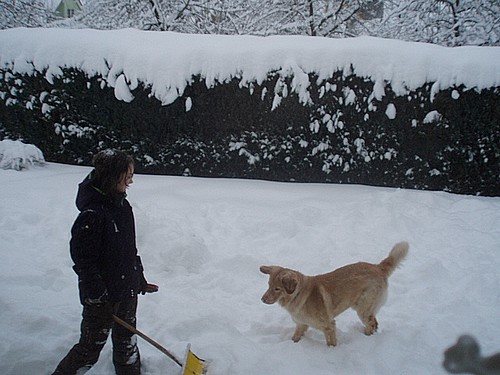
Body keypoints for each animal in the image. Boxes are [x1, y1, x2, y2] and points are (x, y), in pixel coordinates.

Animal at [260, 242, 408, 348]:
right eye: (268, 285)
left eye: (277, 289)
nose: (262, 299)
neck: (298, 295)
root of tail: (377, 267)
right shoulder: (302, 325)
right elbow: (295, 338)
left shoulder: (329, 325)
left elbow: (331, 343)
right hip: (364, 307)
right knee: (375, 322)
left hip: (363, 309)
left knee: (371, 323)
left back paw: (366, 337)